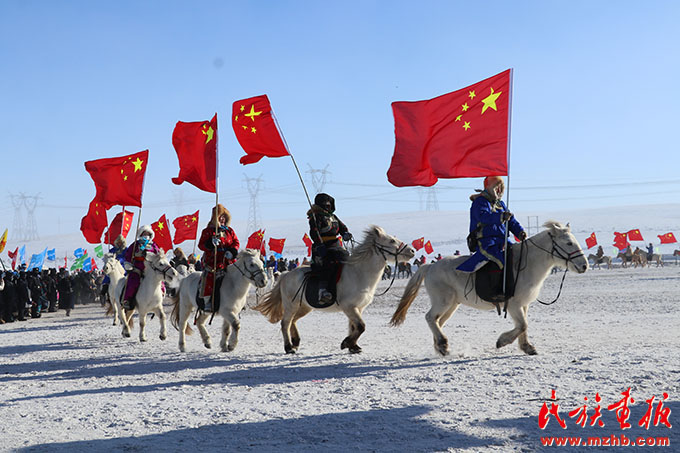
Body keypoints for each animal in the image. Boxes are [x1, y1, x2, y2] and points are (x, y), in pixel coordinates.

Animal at [254, 226, 414, 354]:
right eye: (391, 241)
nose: (412, 250)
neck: (359, 273)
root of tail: (285, 275)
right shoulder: (349, 307)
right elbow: (361, 326)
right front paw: (346, 343)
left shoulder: (357, 308)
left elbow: (353, 327)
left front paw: (353, 347)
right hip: (290, 305)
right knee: (285, 323)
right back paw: (289, 347)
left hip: (304, 307)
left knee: (293, 321)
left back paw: (296, 342)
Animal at [390, 221, 588, 354]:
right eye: (569, 243)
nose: (584, 265)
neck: (527, 264)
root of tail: (430, 267)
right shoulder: (514, 304)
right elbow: (522, 324)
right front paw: (502, 341)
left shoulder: (523, 304)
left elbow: (524, 325)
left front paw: (527, 347)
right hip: (443, 301)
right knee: (430, 318)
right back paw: (443, 344)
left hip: (452, 305)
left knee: (437, 321)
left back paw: (440, 347)